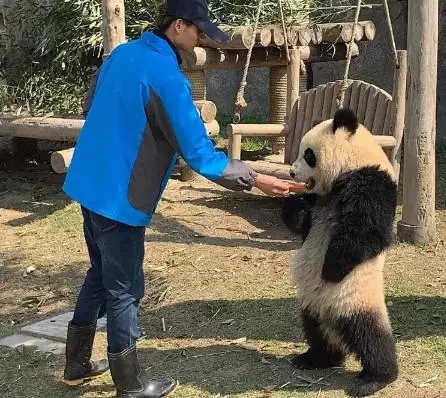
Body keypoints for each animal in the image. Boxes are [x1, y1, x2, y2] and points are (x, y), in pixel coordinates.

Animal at [280, 107, 398, 396]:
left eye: (309, 155)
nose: (291, 173)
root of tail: (332, 315)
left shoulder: (373, 182)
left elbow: (366, 233)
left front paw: (331, 270)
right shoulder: (317, 200)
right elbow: (303, 225)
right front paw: (294, 202)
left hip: (355, 297)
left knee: (371, 335)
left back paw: (376, 378)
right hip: (311, 304)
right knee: (315, 329)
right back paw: (316, 358)